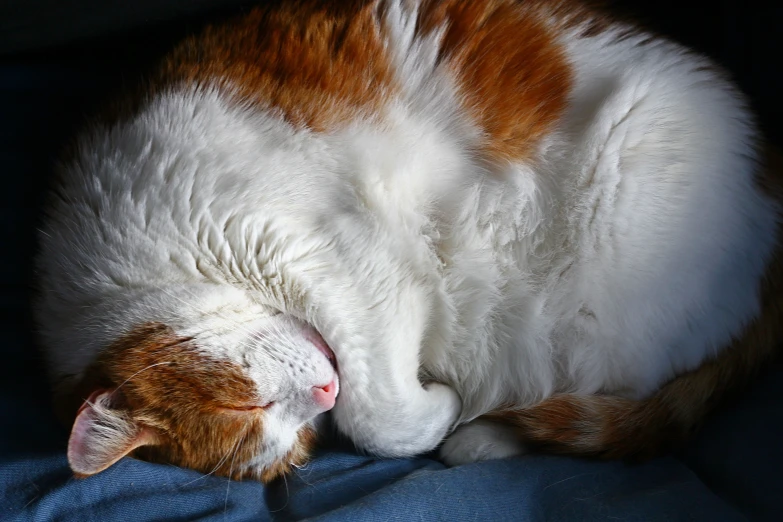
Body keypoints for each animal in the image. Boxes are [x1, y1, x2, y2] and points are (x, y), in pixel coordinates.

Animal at [33, 0, 783, 482]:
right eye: (290, 444)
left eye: (246, 406)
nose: (324, 394)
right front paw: (441, 417)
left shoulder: (346, 263)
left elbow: (382, 417)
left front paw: (435, 405)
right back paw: (481, 439)